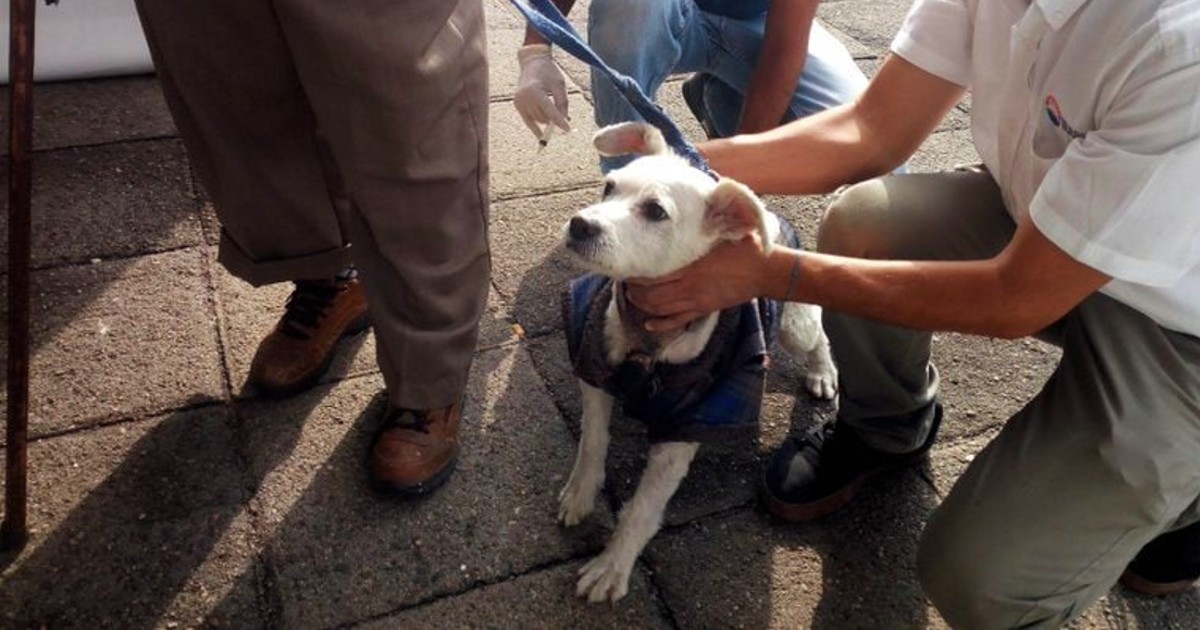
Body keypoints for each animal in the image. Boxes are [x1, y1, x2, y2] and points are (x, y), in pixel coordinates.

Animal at [552, 121, 835, 600]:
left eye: (655, 211)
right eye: (609, 187)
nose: (580, 224)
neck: (647, 336)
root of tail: (772, 212)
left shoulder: (687, 425)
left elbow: (643, 506)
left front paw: (612, 566)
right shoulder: (595, 369)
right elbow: (592, 442)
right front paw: (580, 493)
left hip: (795, 326)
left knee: (819, 333)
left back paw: (823, 373)